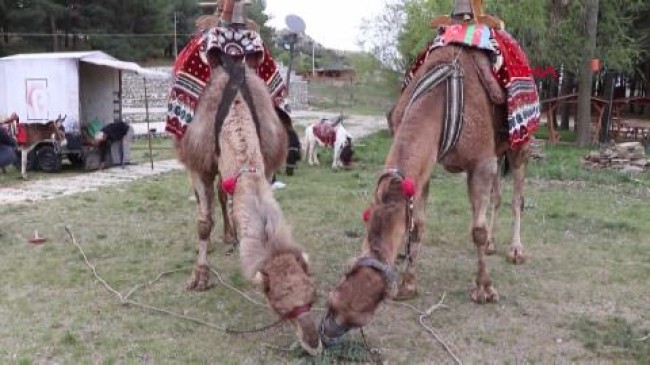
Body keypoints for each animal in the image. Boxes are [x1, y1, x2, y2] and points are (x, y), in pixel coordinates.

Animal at [173, 0, 320, 354]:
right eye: (278, 305)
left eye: (312, 295)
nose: (313, 341)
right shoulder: (199, 161)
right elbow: (203, 222)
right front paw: (200, 277)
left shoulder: (263, 163)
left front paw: (235, 237)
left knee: (224, 195)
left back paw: (230, 236)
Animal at [322, 44, 528, 344]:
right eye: (333, 301)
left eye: (362, 316)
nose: (325, 333)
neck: (440, 96)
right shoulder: (427, 166)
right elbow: (417, 226)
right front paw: (408, 285)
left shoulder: (481, 161)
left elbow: (476, 230)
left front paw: (485, 289)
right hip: (499, 150)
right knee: (498, 197)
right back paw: (492, 244)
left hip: (519, 143)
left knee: (516, 198)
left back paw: (515, 251)